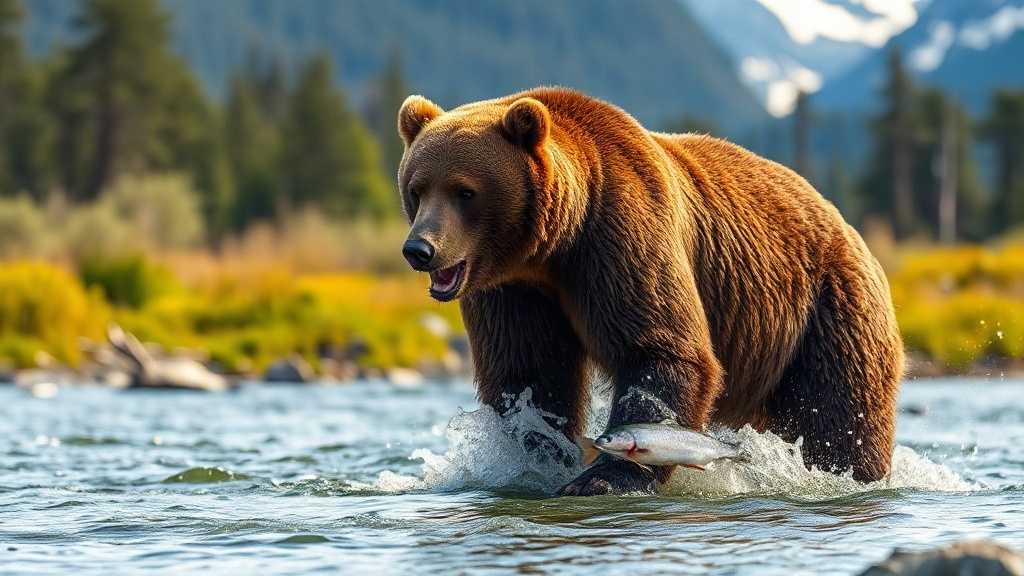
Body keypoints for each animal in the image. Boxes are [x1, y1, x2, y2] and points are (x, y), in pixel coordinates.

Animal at [395, 87, 903, 496]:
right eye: (417, 188)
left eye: (464, 191)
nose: (419, 249)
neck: (552, 250)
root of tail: (847, 225)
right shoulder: (512, 290)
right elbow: (529, 373)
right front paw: (531, 461)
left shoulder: (619, 234)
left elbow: (660, 348)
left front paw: (601, 477)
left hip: (826, 310)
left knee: (837, 415)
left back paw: (849, 475)